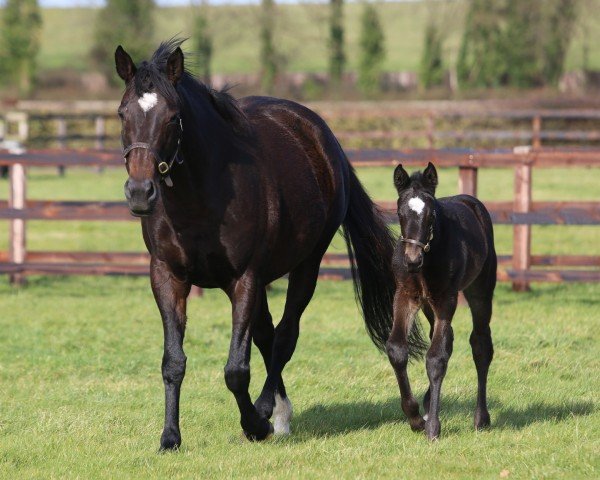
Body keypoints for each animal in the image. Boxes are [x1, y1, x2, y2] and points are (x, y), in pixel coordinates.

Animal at [112, 40, 412, 450]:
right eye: (122, 113)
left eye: (173, 117)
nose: (140, 193)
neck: (201, 198)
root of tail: (320, 135)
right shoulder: (167, 277)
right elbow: (173, 362)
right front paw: (170, 437)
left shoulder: (245, 279)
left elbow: (237, 369)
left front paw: (256, 423)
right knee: (267, 335)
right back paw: (280, 413)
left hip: (306, 265)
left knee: (284, 336)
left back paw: (272, 413)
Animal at [390, 163, 496, 440]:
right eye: (399, 212)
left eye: (431, 214)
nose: (412, 260)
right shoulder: (405, 295)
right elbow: (397, 349)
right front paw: (416, 417)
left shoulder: (446, 299)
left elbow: (437, 358)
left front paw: (432, 428)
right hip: (429, 305)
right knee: (446, 338)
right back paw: (428, 405)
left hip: (480, 290)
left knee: (480, 344)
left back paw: (481, 418)